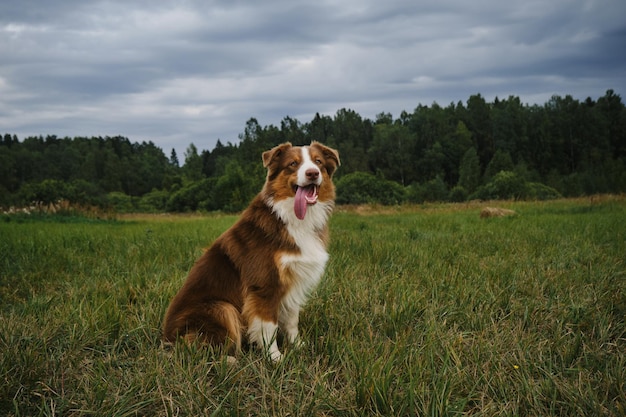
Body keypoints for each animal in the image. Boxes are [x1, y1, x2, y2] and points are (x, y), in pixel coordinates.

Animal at [160, 141, 336, 360]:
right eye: (293, 164)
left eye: (318, 162)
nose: (312, 173)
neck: (291, 218)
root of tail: (167, 340)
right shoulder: (264, 285)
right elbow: (269, 327)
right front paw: (275, 358)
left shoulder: (294, 281)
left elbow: (292, 321)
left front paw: (297, 346)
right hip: (221, 307)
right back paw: (229, 360)